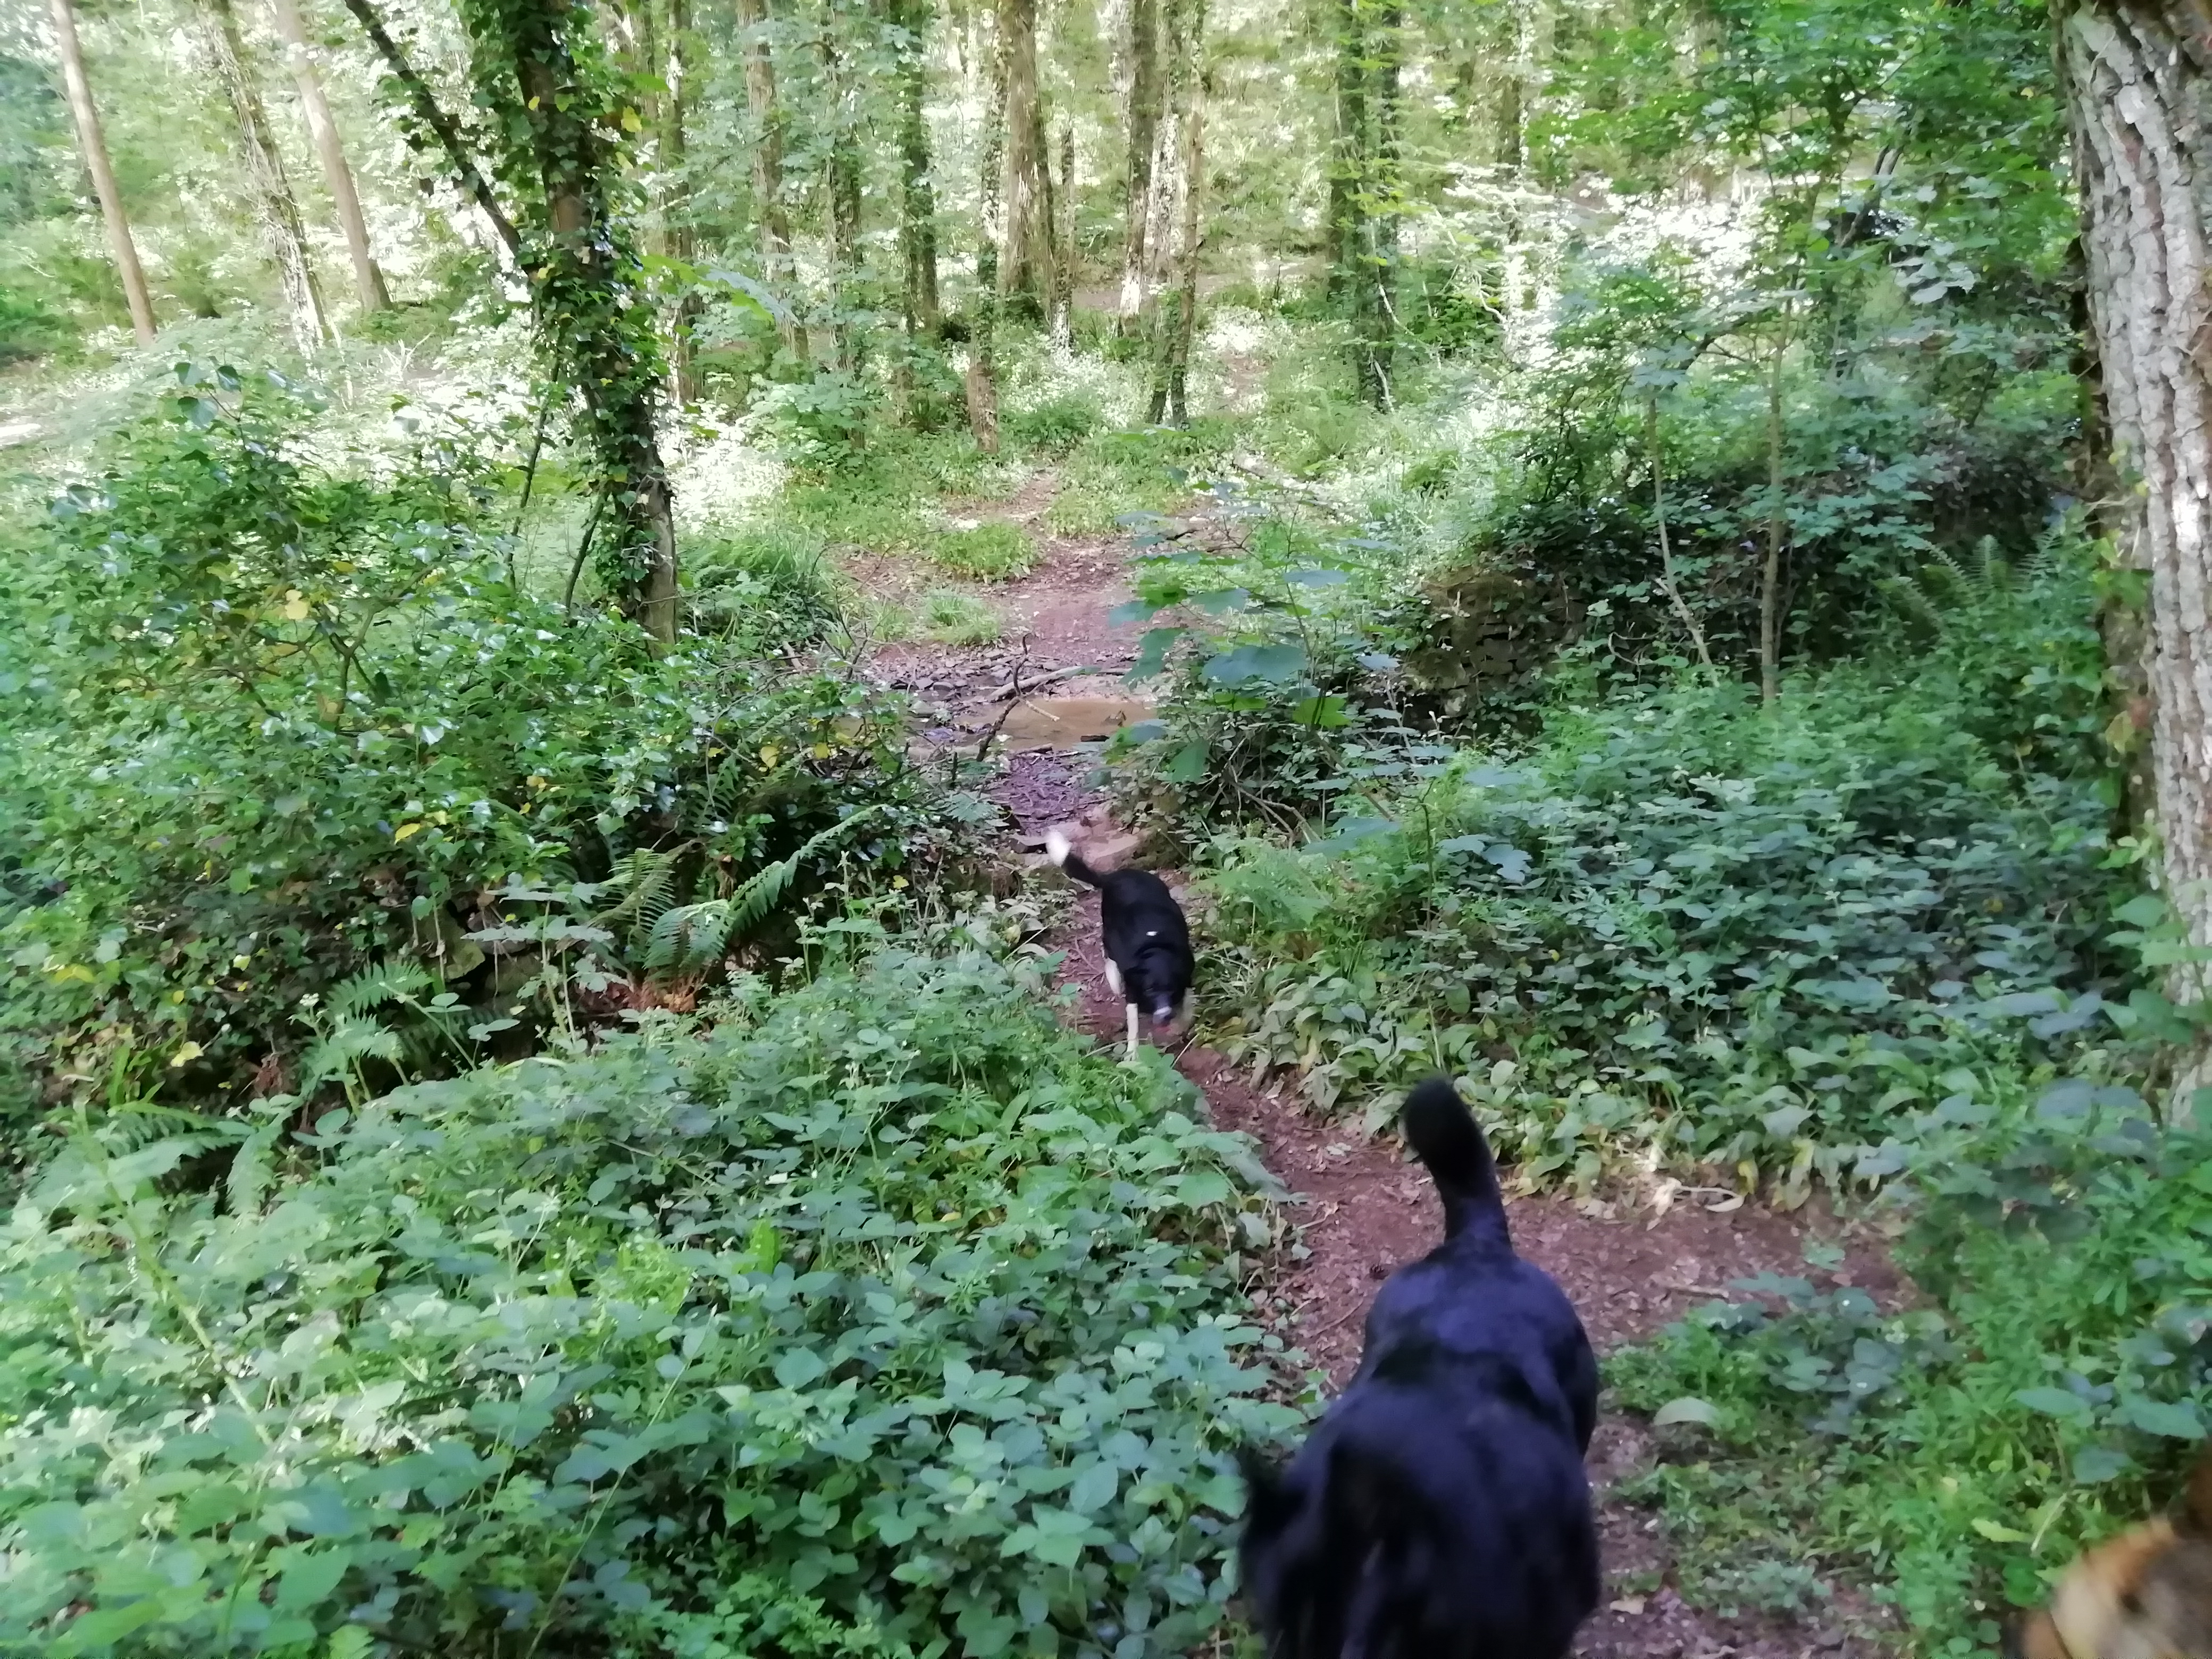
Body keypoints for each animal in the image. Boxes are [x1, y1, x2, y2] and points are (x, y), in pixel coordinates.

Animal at [1044, 828, 1193, 1064]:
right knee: (1109, 955)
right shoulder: (1133, 989)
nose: (1165, 1015)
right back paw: (1114, 980)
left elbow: (1187, 999)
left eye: (1171, 987)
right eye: (1149, 989)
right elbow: (1133, 1027)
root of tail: (1114, 875)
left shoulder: (1186, 969)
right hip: (1109, 931)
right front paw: (1132, 1055)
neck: (1156, 948)